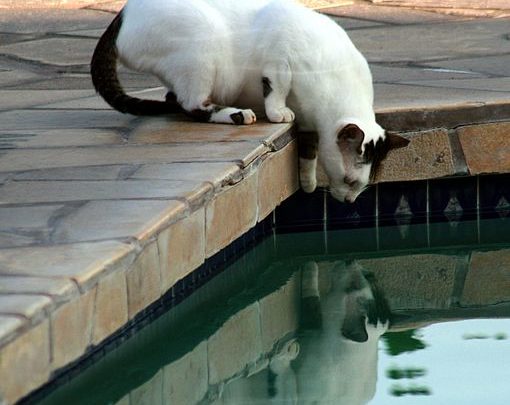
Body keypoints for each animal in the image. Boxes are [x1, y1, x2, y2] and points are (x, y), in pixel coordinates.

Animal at [92, 0, 410, 202]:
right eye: (350, 182)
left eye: (361, 186)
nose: (350, 201)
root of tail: (123, 13)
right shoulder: (279, 58)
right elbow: (277, 86)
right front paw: (278, 111)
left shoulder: (311, 122)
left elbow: (309, 147)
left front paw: (307, 181)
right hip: (202, 47)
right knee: (191, 106)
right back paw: (238, 114)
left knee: (175, 98)